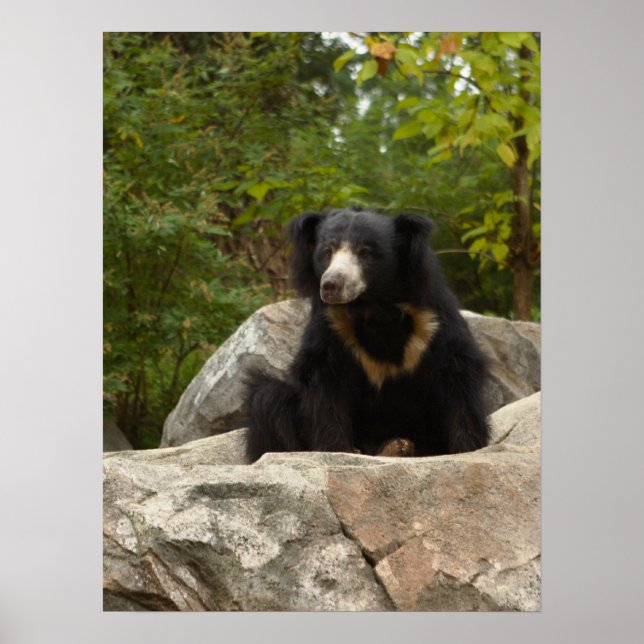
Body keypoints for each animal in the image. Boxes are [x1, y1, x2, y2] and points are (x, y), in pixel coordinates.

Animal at [245, 208, 490, 462]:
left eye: (365, 252)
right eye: (327, 252)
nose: (331, 285)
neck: (373, 306)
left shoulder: (432, 321)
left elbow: (458, 376)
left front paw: (467, 447)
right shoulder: (332, 325)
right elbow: (323, 381)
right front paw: (337, 449)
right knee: (268, 398)